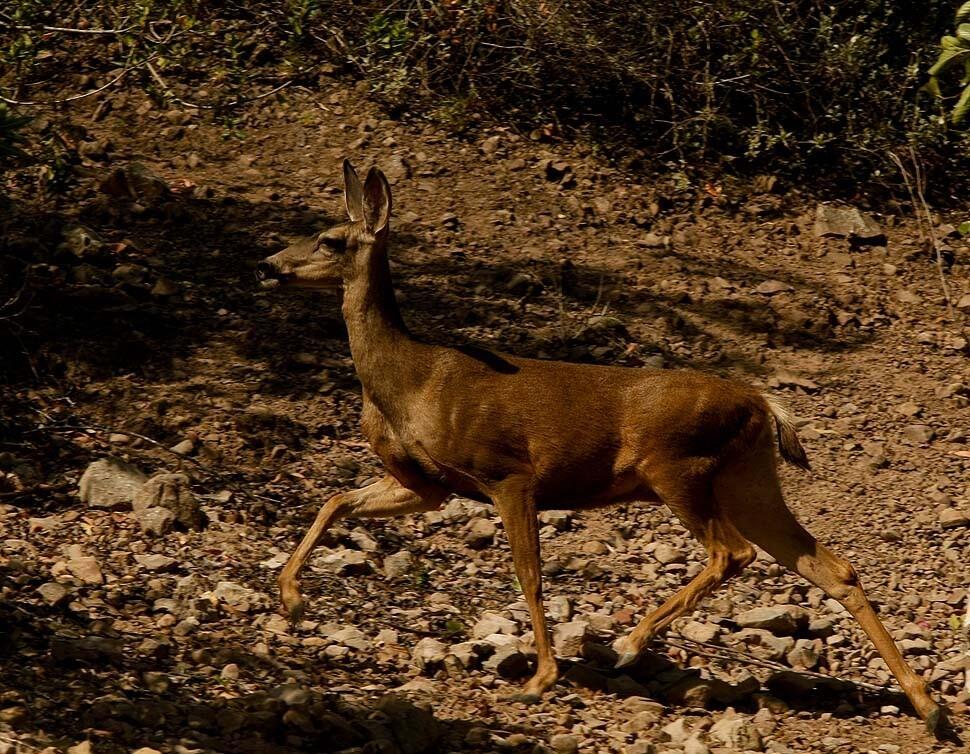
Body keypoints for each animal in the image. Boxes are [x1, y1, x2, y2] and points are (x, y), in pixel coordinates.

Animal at [253, 159, 940, 728]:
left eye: (331, 239)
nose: (266, 265)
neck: (409, 380)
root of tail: (762, 401)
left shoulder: (506, 471)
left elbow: (529, 574)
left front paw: (540, 678)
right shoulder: (428, 485)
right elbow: (335, 501)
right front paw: (290, 600)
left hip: (678, 467)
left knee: (732, 553)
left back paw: (629, 644)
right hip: (748, 479)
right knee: (832, 566)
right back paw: (929, 708)